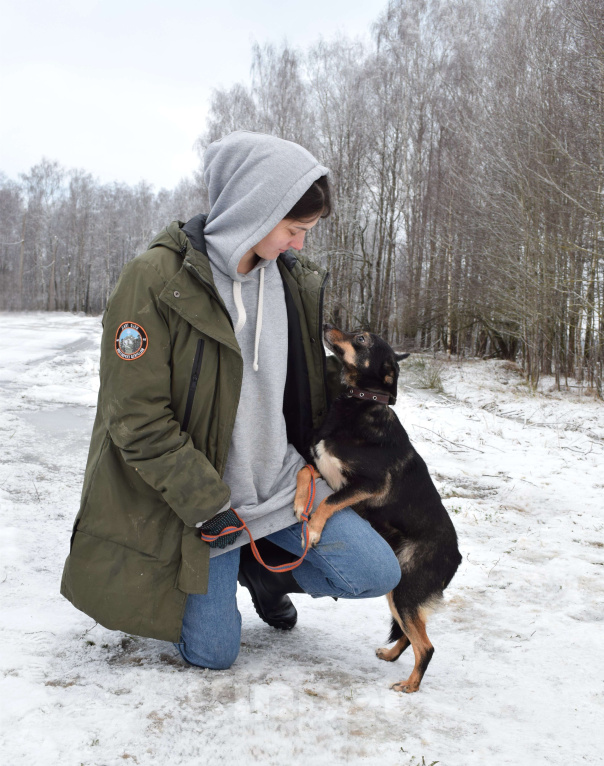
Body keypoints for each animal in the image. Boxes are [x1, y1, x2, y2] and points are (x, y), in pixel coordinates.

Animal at [294, 324, 462, 696]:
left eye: (362, 339)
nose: (325, 326)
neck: (360, 404)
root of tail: (456, 555)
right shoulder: (326, 471)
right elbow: (304, 472)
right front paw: (299, 503)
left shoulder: (366, 486)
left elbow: (326, 503)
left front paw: (313, 531)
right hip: (397, 591)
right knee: (411, 636)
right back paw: (390, 656)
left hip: (405, 590)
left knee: (426, 646)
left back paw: (410, 686)